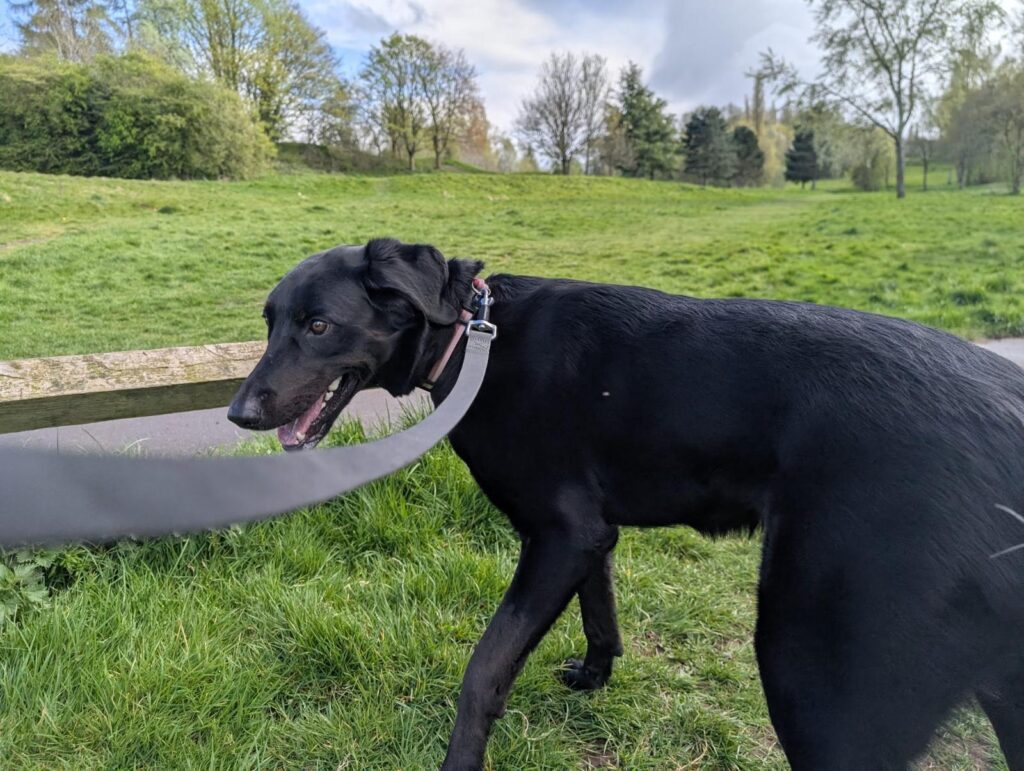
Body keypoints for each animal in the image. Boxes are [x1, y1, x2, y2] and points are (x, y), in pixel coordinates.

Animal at [228, 238, 1024, 770]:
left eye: (319, 325)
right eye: (269, 322)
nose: (238, 412)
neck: (471, 337)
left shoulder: (560, 535)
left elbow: (484, 670)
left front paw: (460, 761)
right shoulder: (590, 534)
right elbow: (601, 611)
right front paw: (596, 676)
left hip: (817, 681)